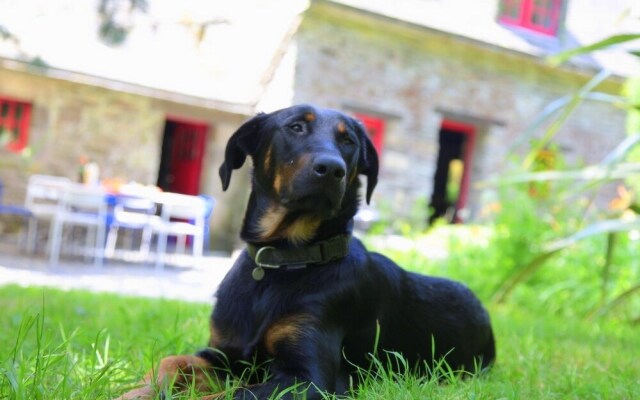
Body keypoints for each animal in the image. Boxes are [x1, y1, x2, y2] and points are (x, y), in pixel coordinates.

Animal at [121, 105, 500, 400]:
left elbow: (229, 395)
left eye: (348, 141)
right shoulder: (223, 354)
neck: (283, 261)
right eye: (296, 127)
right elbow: (172, 362)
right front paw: (137, 391)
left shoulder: (308, 379)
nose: (332, 169)